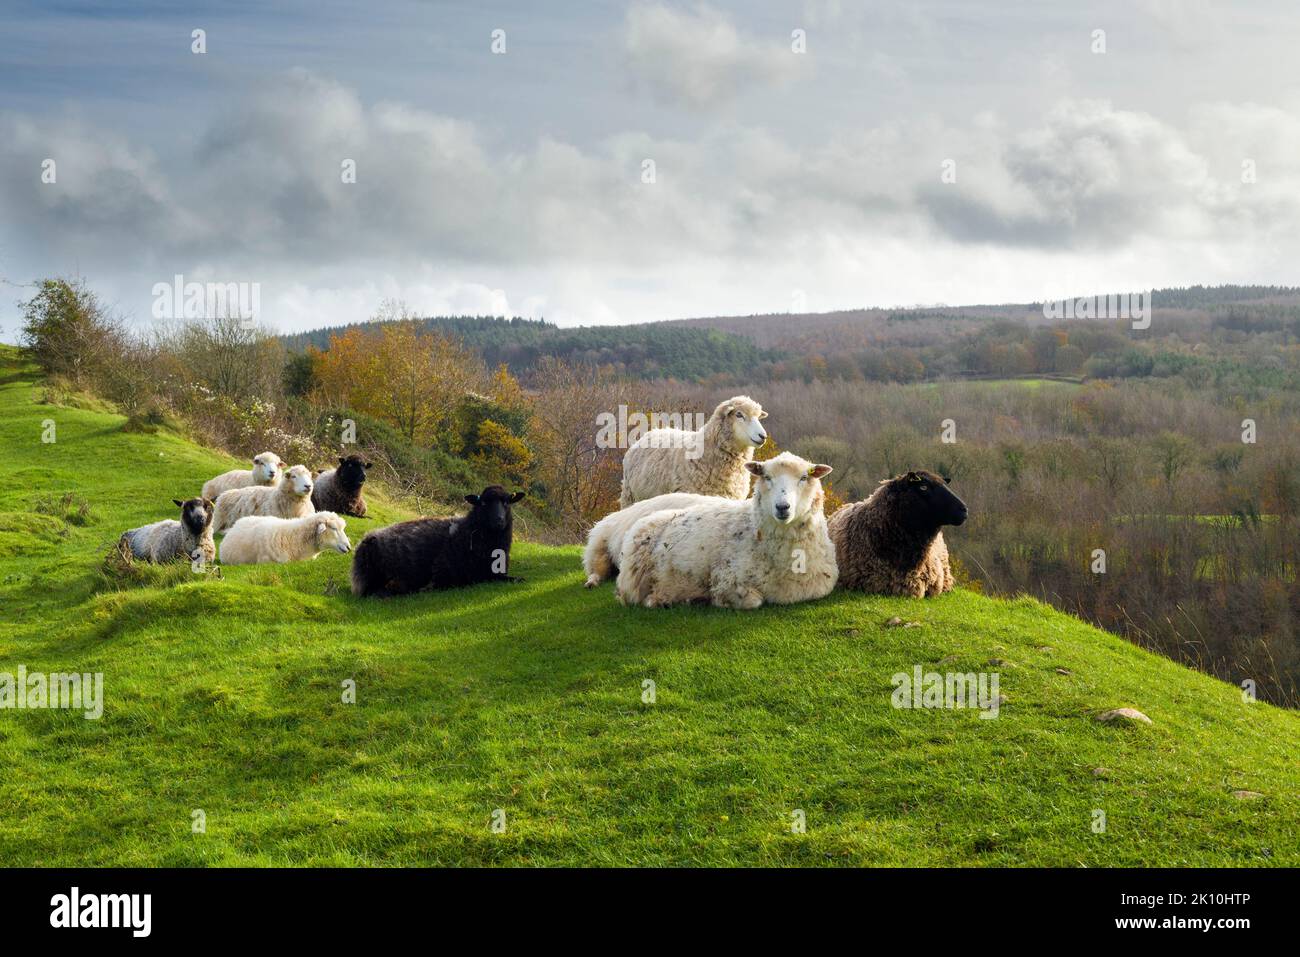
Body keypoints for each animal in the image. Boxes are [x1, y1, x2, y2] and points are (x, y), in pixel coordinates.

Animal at [351, 486, 527, 598]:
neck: (468, 531)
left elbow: (515, 579)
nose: (499, 521)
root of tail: (365, 540)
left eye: (507, 502)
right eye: (483, 503)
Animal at [613, 452, 837, 608]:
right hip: (634, 583)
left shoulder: (820, 586)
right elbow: (753, 601)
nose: (782, 507)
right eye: (766, 477)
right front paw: (716, 600)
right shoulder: (726, 578)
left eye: (804, 478)